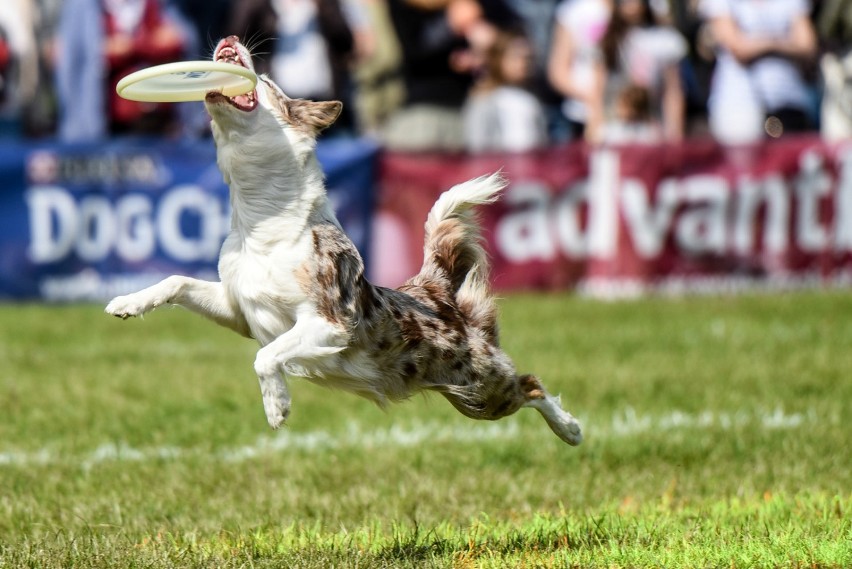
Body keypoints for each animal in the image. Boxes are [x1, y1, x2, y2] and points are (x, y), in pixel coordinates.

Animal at [105, 35, 584, 446]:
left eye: (268, 82)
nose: (230, 37)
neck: (262, 221)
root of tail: (435, 292)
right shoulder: (241, 309)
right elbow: (177, 280)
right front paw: (128, 302)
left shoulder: (329, 322)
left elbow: (266, 357)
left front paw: (277, 405)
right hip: (464, 392)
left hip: (481, 385)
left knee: (531, 386)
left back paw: (572, 429)